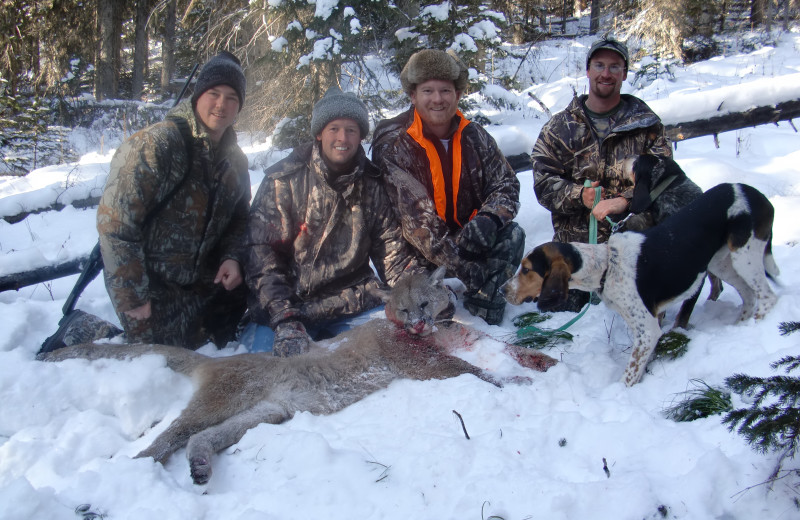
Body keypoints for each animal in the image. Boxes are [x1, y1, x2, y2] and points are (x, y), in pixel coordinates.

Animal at [40, 266, 556, 486]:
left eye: (424, 304)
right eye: (405, 308)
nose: (417, 323)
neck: (439, 333)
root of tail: (220, 360)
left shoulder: (464, 338)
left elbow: (506, 348)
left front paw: (544, 363)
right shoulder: (421, 364)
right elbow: (472, 370)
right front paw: (515, 383)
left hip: (266, 412)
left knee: (201, 438)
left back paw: (200, 467)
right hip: (224, 398)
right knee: (170, 435)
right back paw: (134, 470)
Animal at [504, 183, 780, 386]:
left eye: (526, 269)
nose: (502, 290)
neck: (607, 266)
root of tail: (757, 195)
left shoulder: (647, 330)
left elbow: (630, 373)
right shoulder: (652, 321)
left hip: (745, 255)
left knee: (768, 297)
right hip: (722, 263)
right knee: (749, 294)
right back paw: (739, 329)